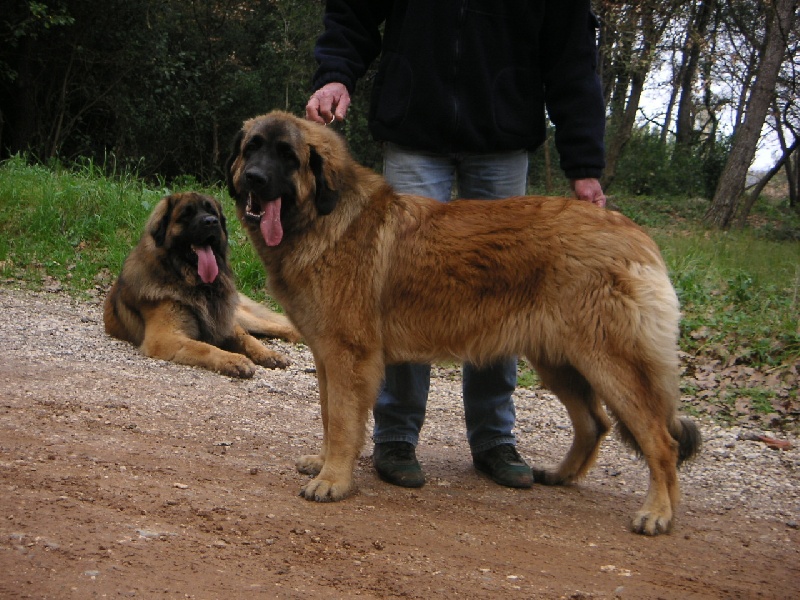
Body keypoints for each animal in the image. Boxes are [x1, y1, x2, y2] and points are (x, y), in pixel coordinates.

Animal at [101, 192, 298, 378]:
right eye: (186, 214)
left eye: (212, 212)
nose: (211, 222)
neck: (194, 282)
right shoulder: (164, 338)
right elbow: (203, 347)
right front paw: (234, 360)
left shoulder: (224, 321)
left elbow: (247, 339)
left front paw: (269, 354)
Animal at [225, 111, 700, 536]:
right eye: (252, 149)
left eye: (288, 156)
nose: (254, 179)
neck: (324, 217)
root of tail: (633, 233)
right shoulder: (327, 356)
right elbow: (328, 417)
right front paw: (325, 465)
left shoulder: (347, 358)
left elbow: (342, 423)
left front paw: (333, 481)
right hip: (559, 360)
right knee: (594, 423)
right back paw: (561, 475)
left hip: (609, 363)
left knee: (662, 442)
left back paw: (657, 513)